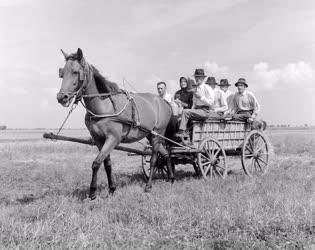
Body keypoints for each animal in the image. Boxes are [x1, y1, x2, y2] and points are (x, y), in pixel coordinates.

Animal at [56, 47, 175, 200]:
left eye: (76, 72)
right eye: (62, 73)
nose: (61, 97)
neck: (104, 106)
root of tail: (164, 101)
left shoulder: (113, 138)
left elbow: (96, 163)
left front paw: (92, 192)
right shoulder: (99, 139)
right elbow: (107, 163)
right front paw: (112, 189)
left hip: (157, 134)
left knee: (154, 159)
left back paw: (148, 186)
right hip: (150, 134)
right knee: (165, 155)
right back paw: (171, 179)